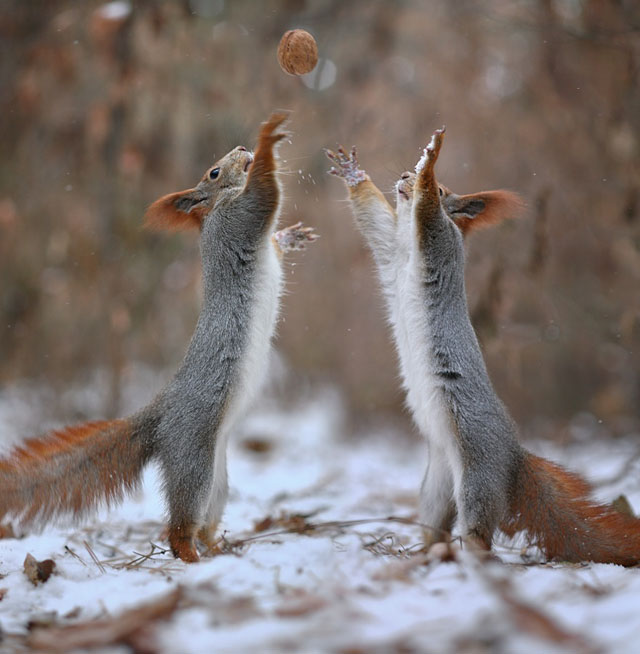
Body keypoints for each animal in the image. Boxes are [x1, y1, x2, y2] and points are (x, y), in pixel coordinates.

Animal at [0, 113, 320, 564]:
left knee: (204, 521)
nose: (241, 148)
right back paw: (192, 557)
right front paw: (268, 139)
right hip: (193, 458)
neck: (215, 209)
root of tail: (162, 413)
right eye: (213, 172)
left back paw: (217, 549)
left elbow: (273, 233)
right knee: (179, 528)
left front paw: (291, 236)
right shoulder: (238, 220)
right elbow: (264, 194)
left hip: (216, 480)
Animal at [328, 132, 640, 564]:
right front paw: (353, 173)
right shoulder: (389, 248)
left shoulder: (439, 241)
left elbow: (429, 213)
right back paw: (424, 553)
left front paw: (431, 161)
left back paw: (468, 555)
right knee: (437, 524)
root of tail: (513, 458)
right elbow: (373, 218)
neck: (407, 246)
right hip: (437, 486)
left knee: (479, 531)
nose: (406, 175)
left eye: (446, 190)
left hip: (477, 471)